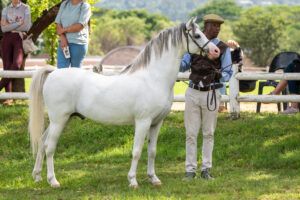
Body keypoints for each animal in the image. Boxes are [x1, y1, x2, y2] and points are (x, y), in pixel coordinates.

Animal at [29, 18, 219, 188]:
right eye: (197, 35)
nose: (216, 50)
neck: (154, 78)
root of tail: (53, 72)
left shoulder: (156, 123)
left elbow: (152, 151)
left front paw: (154, 179)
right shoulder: (143, 122)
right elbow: (136, 151)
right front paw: (133, 181)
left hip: (61, 120)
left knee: (42, 142)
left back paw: (37, 176)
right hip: (59, 120)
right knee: (49, 147)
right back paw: (53, 181)